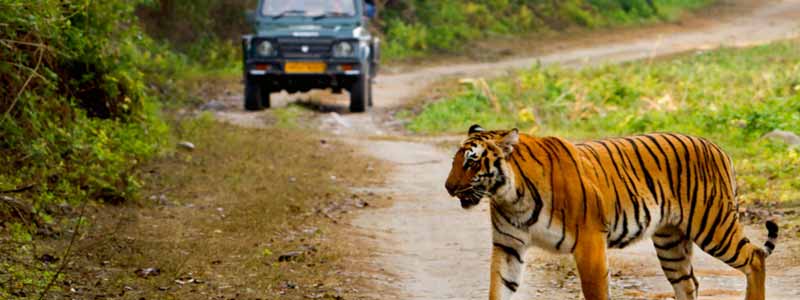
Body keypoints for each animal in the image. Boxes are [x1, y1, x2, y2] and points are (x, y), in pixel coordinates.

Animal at [440, 124, 780, 300]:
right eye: (456, 160)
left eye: (471, 161)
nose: (447, 187)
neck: (511, 195)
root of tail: (718, 147)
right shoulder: (508, 246)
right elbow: (500, 288)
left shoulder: (589, 242)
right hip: (671, 242)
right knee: (689, 283)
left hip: (712, 224)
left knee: (754, 257)